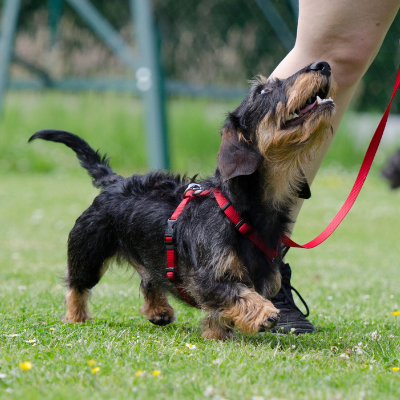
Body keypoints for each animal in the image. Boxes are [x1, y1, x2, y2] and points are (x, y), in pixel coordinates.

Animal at [29, 61, 336, 340]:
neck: (238, 208)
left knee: (149, 279)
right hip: (88, 252)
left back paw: (159, 311)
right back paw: (75, 316)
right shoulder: (206, 279)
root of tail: (115, 181)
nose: (322, 65)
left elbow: (222, 310)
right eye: (263, 90)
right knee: (76, 284)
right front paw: (264, 313)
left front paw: (217, 334)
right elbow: (237, 294)